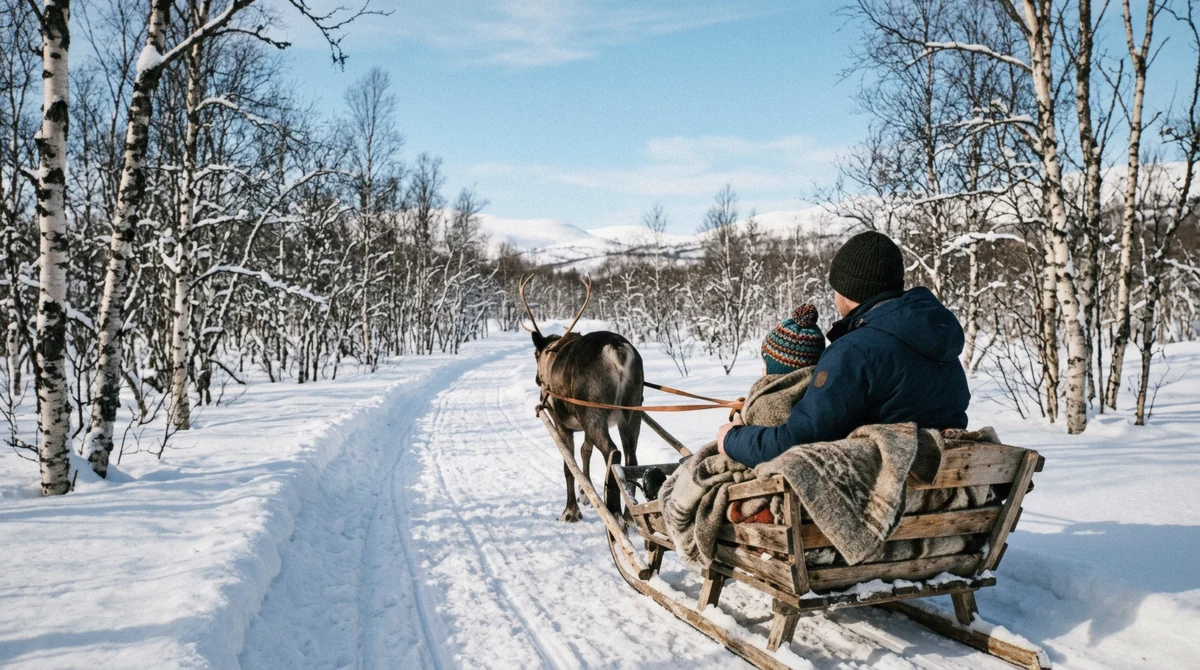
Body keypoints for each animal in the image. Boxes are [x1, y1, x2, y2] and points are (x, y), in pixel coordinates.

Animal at [521, 276, 643, 522]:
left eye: (535, 355)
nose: (538, 381)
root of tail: (616, 350)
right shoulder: (584, 426)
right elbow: (585, 452)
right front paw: (586, 496)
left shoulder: (562, 423)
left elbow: (569, 465)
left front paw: (571, 511)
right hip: (632, 410)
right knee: (631, 458)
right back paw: (629, 514)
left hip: (593, 412)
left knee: (612, 452)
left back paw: (615, 513)